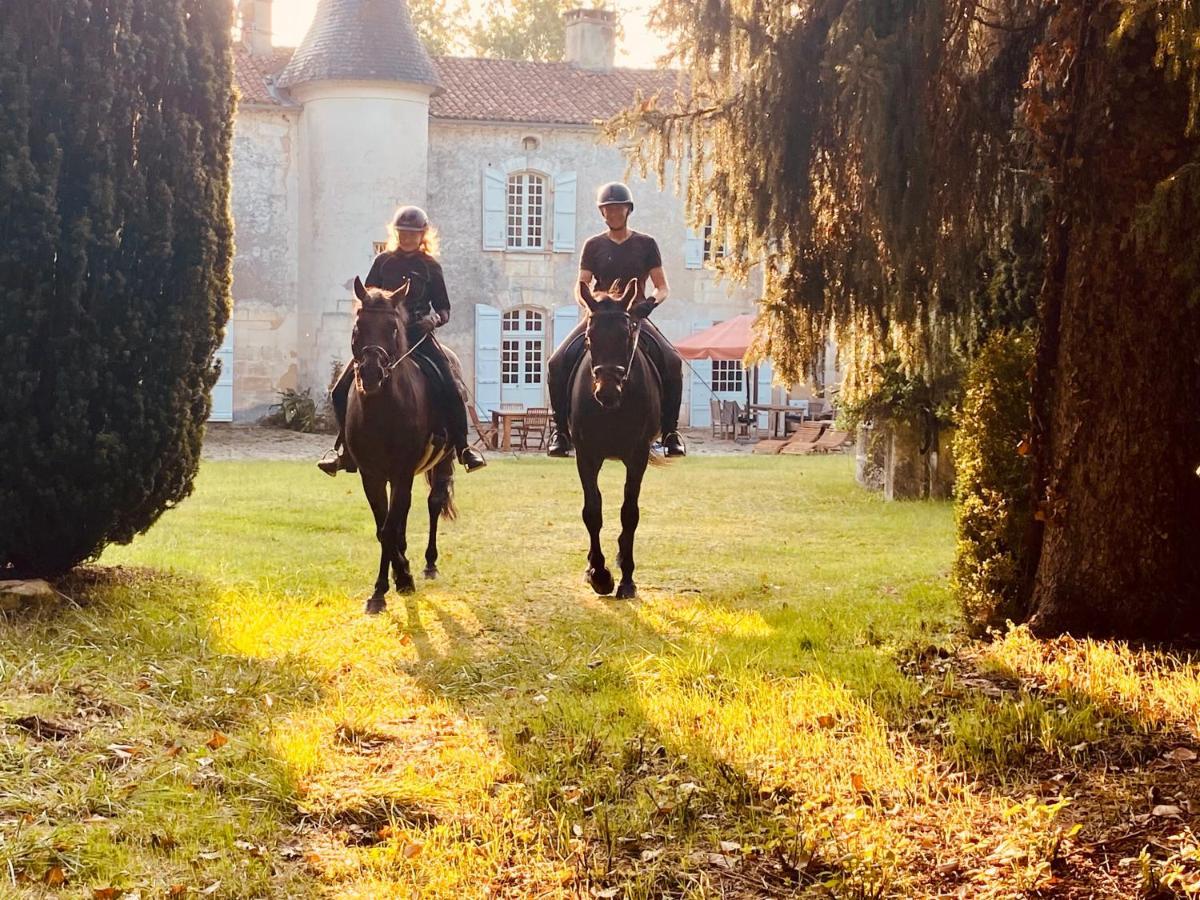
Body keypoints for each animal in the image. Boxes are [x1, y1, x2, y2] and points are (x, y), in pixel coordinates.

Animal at [350, 274, 460, 619]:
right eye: (358, 327)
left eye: (393, 329)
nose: (371, 373)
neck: (382, 411)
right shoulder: (371, 475)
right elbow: (383, 527)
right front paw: (396, 578)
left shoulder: (401, 473)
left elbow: (388, 528)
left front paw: (390, 585)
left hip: (443, 460)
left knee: (434, 502)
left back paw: (429, 563)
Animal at [566, 280, 662, 607]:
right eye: (589, 337)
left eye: (627, 334)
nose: (607, 391)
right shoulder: (586, 455)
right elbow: (591, 511)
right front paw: (600, 575)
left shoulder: (637, 456)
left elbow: (629, 514)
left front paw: (627, 579)